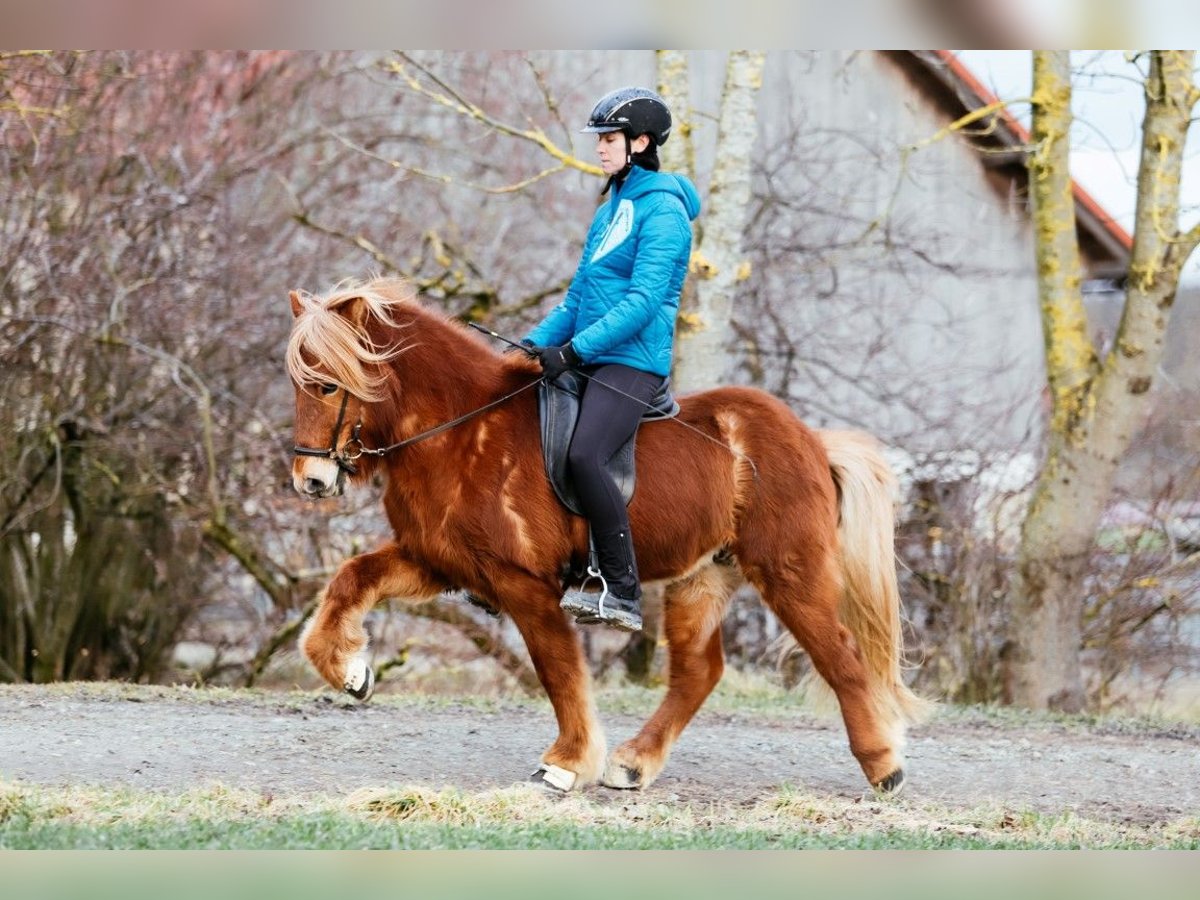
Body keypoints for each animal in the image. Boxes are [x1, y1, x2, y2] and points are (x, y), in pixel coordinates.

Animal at [288, 277, 926, 796]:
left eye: (327, 386)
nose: (310, 480)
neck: (460, 431)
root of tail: (813, 441)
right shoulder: (437, 561)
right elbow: (350, 580)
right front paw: (350, 673)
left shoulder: (524, 584)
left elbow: (558, 671)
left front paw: (566, 764)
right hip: (704, 575)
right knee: (700, 672)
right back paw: (634, 764)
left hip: (789, 570)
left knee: (841, 656)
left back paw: (884, 766)